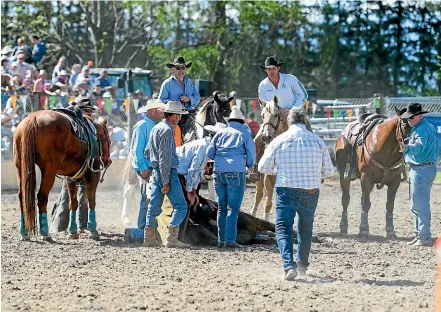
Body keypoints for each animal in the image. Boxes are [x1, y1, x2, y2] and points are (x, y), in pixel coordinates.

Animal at [13, 100, 111, 241]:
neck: (93, 134)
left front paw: (73, 231)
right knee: (42, 196)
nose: (108, 160)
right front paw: (93, 230)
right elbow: (91, 201)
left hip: (20, 167)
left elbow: (73, 203)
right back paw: (45, 233)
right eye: (109, 138)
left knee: (22, 196)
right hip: (48, 171)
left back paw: (24, 232)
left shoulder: (71, 177)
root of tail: (32, 120)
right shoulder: (93, 174)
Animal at [336, 108, 410, 239]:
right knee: (345, 199)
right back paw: (343, 227)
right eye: (404, 124)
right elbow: (366, 204)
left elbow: (389, 205)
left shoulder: (395, 181)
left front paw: (390, 231)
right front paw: (364, 230)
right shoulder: (366, 179)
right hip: (344, 176)